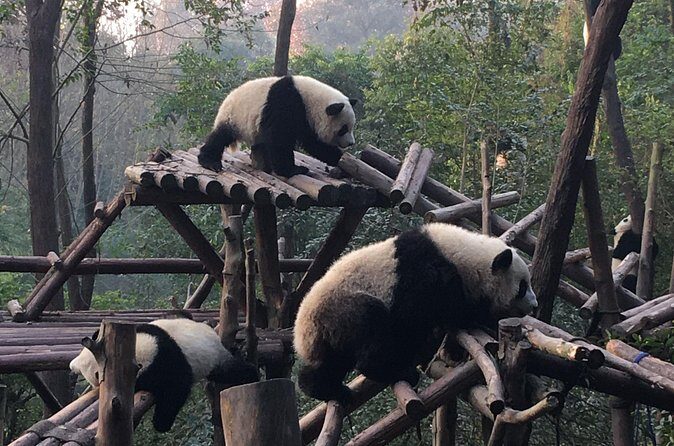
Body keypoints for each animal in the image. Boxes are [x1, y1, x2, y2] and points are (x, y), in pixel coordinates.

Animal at [69, 316, 258, 432]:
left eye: (94, 375)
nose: (73, 366)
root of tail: (213, 335)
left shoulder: (164, 361)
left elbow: (177, 386)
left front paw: (161, 424)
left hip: (214, 359)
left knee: (233, 372)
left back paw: (252, 375)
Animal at [197, 75, 358, 177]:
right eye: (343, 129)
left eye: (351, 126)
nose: (351, 143)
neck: (310, 100)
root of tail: (226, 99)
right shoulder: (286, 103)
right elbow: (279, 139)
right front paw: (293, 170)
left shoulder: (306, 120)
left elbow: (316, 144)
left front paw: (344, 163)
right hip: (234, 117)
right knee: (220, 137)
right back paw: (209, 161)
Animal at [293, 223, 538, 403]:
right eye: (522, 286)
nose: (534, 305)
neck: (465, 257)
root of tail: (302, 334)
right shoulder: (426, 276)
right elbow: (420, 316)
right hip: (344, 309)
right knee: (371, 329)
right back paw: (397, 372)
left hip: (331, 332)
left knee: (331, 363)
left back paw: (323, 388)